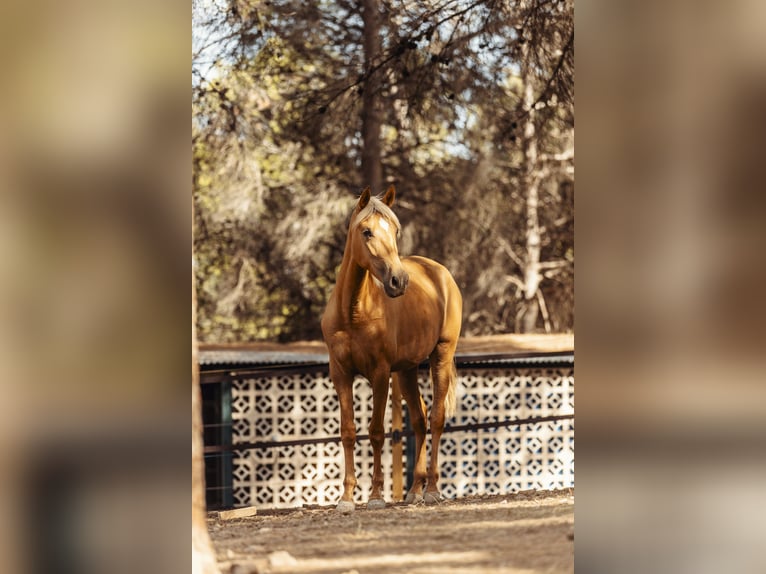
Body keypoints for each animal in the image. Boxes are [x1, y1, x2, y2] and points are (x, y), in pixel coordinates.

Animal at [322, 184, 464, 512]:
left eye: (395, 230)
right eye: (367, 231)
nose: (399, 281)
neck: (353, 312)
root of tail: (441, 273)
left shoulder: (379, 374)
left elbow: (376, 432)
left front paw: (375, 496)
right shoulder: (341, 375)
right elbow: (348, 432)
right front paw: (346, 498)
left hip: (440, 356)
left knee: (436, 418)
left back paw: (432, 490)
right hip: (407, 371)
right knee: (420, 419)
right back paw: (413, 490)